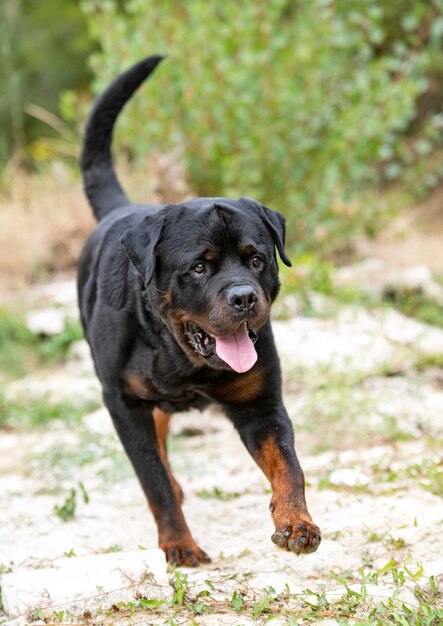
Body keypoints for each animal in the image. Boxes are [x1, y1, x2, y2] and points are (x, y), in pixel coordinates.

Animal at [78, 56, 320, 564]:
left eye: (256, 259)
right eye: (199, 267)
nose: (244, 297)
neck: (177, 351)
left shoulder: (260, 403)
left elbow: (287, 463)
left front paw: (296, 522)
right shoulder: (122, 402)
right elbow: (151, 479)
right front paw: (179, 544)